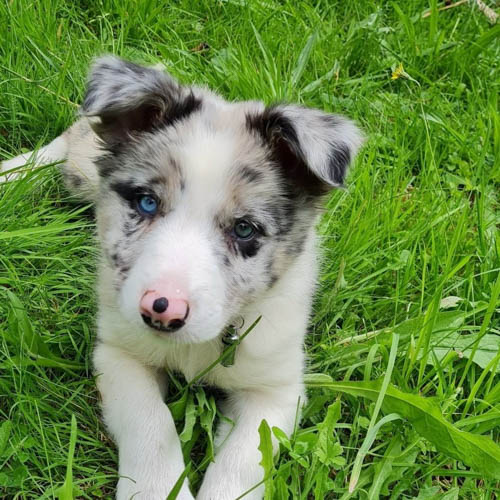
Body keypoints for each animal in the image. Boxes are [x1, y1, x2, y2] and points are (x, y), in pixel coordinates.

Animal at [0, 56, 364, 498]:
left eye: (245, 229)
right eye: (146, 203)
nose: (162, 310)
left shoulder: (276, 389)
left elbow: (242, 461)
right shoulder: (119, 353)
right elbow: (150, 423)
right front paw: (154, 488)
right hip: (81, 171)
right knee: (68, 142)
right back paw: (11, 177)